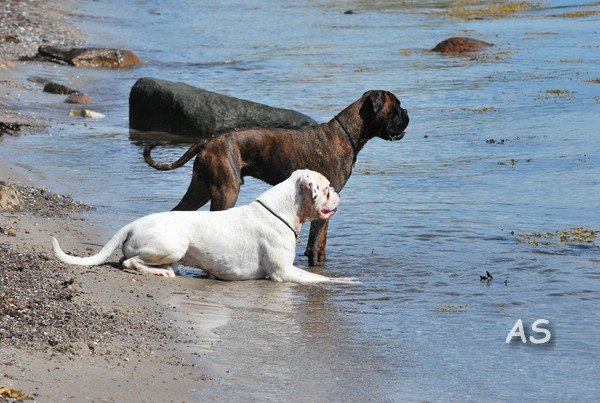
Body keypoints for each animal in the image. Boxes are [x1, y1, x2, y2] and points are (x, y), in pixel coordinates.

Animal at [52, 170, 343, 283]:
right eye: (328, 188)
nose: (339, 194)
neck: (282, 210)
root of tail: (132, 224)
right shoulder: (284, 272)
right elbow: (322, 279)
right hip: (175, 243)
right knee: (130, 262)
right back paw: (160, 272)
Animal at [144, 90, 409, 266]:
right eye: (396, 107)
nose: (407, 113)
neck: (346, 135)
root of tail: (207, 141)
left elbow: (320, 244)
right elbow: (315, 243)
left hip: (199, 189)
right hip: (225, 190)